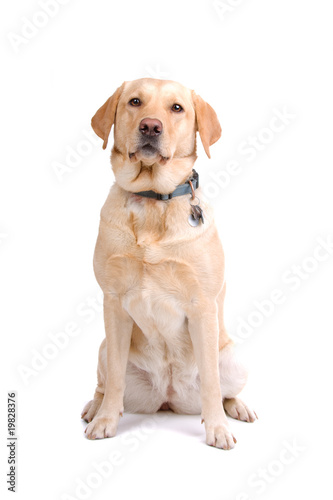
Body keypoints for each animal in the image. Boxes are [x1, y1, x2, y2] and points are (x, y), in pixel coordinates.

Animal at [81, 77, 256, 450]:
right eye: (135, 102)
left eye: (177, 108)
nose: (150, 126)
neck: (154, 201)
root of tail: (168, 398)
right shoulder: (113, 304)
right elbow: (115, 379)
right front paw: (105, 421)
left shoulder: (202, 306)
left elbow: (212, 383)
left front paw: (217, 429)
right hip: (103, 348)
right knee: (104, 383)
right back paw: (94, 407)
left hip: (233, 359)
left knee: (225, 389)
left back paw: (238, 408)